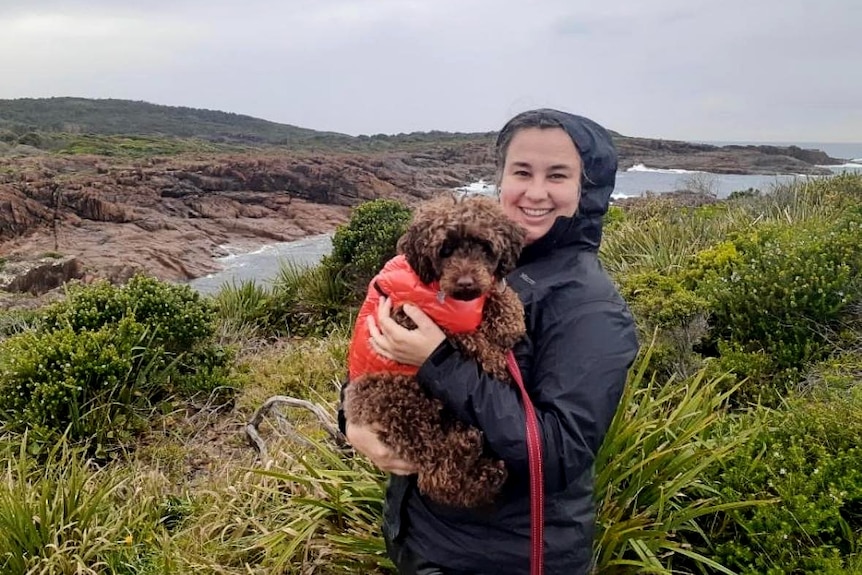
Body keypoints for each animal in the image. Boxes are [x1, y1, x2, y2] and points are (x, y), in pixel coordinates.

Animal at [344, 195, 528, 508]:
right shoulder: (407, 317)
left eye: (484, 247)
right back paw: (474, 460)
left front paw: (509, 317)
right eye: (445, 250)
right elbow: (468, 336)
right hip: (403, 398)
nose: (466, 283)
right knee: (435, 472)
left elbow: (496, 295)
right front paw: (495, 360)